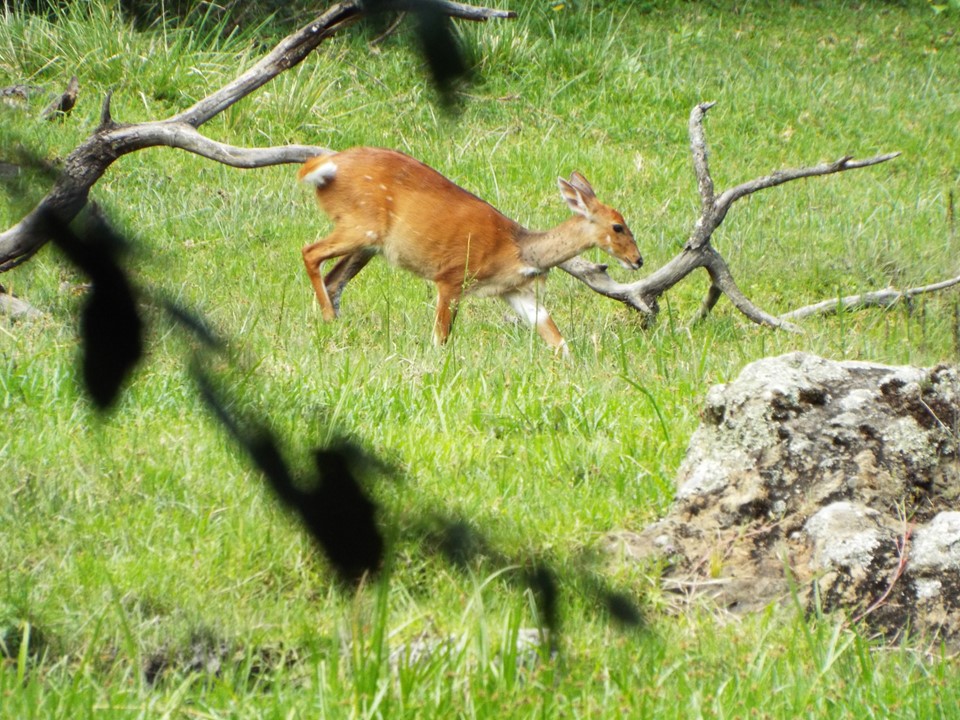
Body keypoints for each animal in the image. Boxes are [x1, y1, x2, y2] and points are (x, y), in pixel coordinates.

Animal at [298, 147, 642, 355]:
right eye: (618, 227)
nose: (638, 260)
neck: (518, 250)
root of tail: (322, 166)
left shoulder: (515, 290)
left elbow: (556, 337)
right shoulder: (451, 276)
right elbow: (440, 337)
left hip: (369, 243)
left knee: (334, 278)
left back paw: (333, 323)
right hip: (360, 225)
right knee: (309, 251)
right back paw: (328, 316)